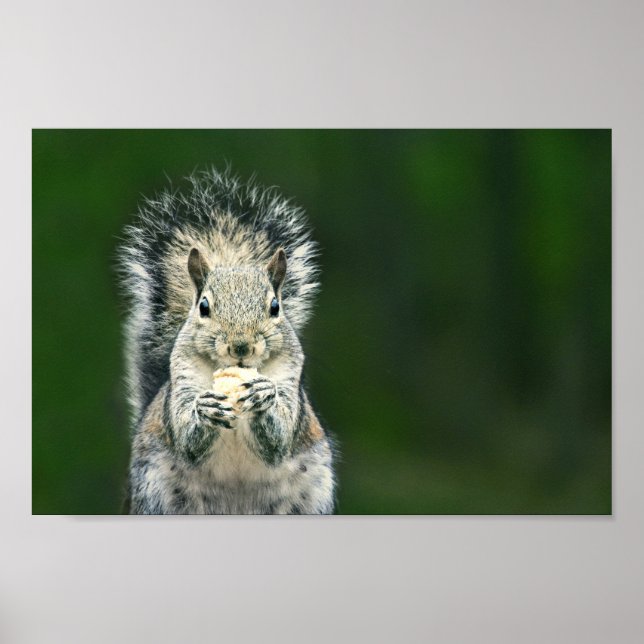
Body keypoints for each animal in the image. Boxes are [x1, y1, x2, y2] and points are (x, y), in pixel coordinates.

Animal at [117, 169, 336, 514]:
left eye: (275, 307)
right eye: (204, 307)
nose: (241, 346)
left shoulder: (290, 378)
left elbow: (280, 438)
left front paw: (263, 394)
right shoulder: (182, 378)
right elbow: (187, 439)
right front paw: (204, 409)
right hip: (157, 495)